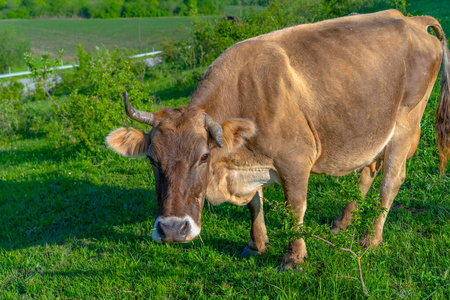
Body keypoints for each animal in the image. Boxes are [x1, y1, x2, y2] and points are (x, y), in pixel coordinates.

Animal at [106, 10, 450, 270]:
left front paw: (293, 257)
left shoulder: (295, 160)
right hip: (374, 127)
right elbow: (255, 203)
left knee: (391, 179)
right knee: (368, 170)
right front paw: (256, 243)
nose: (173, 230)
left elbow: (294, 208)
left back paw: (370, 239)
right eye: (152, 159)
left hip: (406, 122)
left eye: (203, 156)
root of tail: (411, 19)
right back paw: (343, 222)